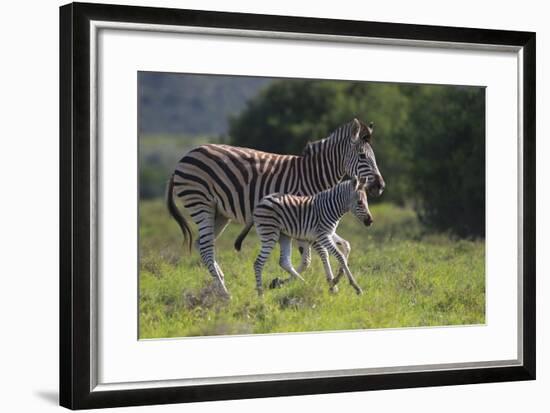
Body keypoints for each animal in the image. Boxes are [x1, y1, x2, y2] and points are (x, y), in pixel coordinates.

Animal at [166, 117, 386, 294]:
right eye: (362, 156)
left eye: (373, 156)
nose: (380, 186)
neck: (312, 176)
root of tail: (185, 157)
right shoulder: (306, 219)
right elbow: (313, 257)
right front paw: (329, 284)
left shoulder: (311, 221)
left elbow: (343, 247)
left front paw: (333, 279)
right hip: (200, 203)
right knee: (205, 246)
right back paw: (225, 292)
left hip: (219, 214)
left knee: (203, 244)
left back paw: (218, 283)